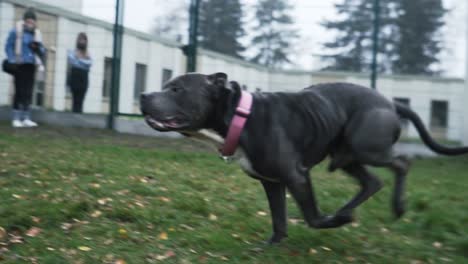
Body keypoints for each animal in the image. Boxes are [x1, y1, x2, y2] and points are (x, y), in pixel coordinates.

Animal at [140, 72, 468, 243]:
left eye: (177, 88)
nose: (143, 96)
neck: (239, 116)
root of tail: (390, 102)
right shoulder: (272, 182)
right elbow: (278, 217)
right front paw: (273, 244)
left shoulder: (296, 175)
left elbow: (312, 217)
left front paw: (332, 222)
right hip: (345, 156)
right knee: (372, 182)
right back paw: (347, 211)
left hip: (366, 147)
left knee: (402, 163)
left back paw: (395, 207)